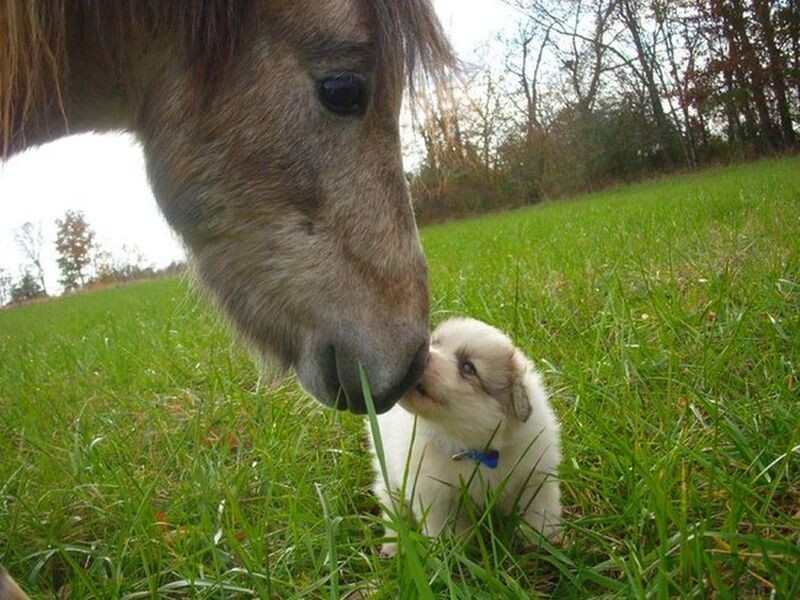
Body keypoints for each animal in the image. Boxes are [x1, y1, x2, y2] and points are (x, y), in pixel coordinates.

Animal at [370, 316, 564, 556]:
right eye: (434, 342)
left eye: (468, 367)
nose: (418, 357)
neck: (474, 449)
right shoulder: (436, 494)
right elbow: (446, 529)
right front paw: (453, 554)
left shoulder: (535, 476)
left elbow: (540, 511)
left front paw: (546, 544)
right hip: (387, 466)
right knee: (390, 500)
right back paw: (393, 544)